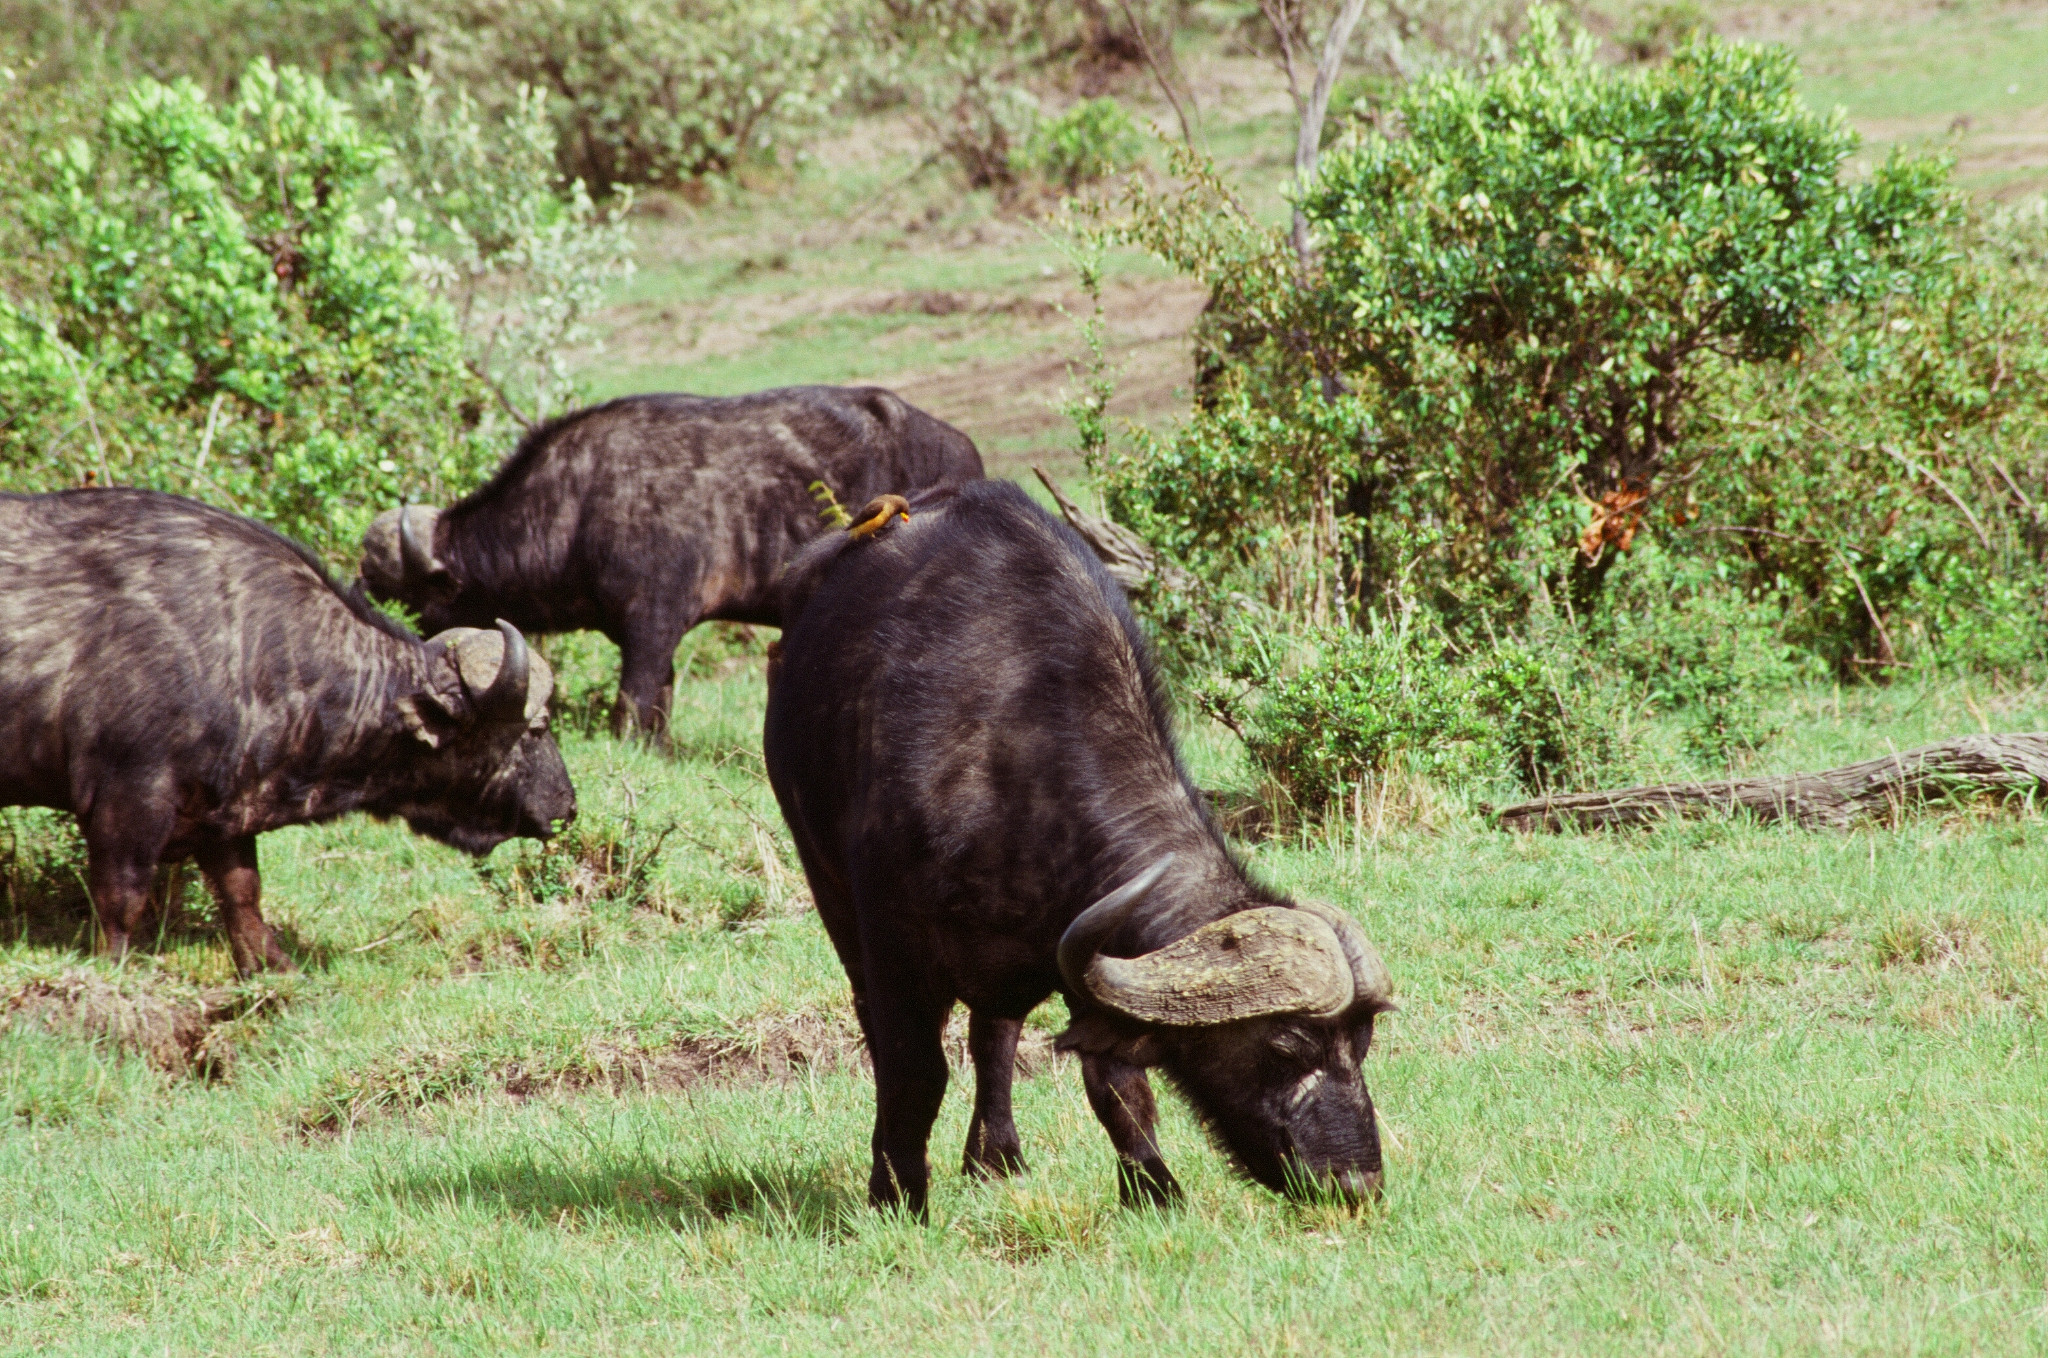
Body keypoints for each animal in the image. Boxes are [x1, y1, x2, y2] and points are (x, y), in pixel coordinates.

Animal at [0, 489, 577, 979]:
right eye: (537, 727)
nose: (568, 807)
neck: (247, 645)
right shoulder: (129, 799)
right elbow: (121, 899)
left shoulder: (223, 808)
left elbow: (242, 893)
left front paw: (274, 969)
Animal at [360, 383, 983, 745]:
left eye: (407, 600)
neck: (578, 502)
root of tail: (965, 450)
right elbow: (658, 699)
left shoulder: (653, 621)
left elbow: (632, 701)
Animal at [761, 483, 1400, 1212]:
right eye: (1287, 1047)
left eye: (1362, 1044)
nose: (1356, 1182)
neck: (1011, 760)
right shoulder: (892, 944)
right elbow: (914, 1072)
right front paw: (897, 1192)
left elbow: (1116, 1083)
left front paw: (1152, 1186)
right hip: (828, 885)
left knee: (994, 1035)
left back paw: (997, 1156)